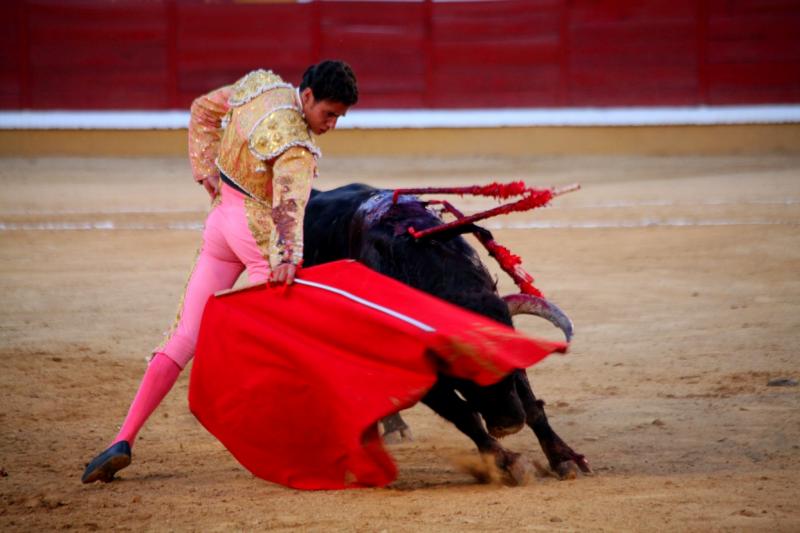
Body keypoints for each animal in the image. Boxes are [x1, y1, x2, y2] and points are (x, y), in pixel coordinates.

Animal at [304, 183, 592, 482]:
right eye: (466, 374)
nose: (510, 423)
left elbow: (532, 404)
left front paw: (564, 458)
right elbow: (463, 415)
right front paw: (507, 463)